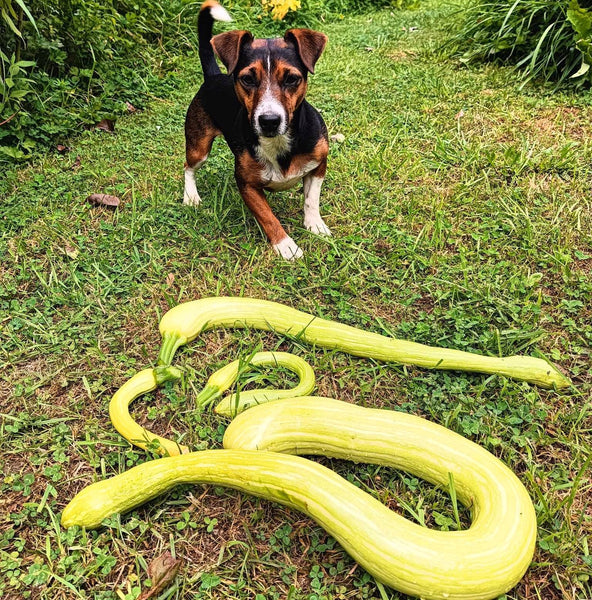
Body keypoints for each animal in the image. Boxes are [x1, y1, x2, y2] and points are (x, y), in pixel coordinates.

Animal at [183, 0, 330, 258]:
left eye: (291, 79)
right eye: (247, 79)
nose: (269, 120)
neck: (279, 142)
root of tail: (213, 76)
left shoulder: (319, 165)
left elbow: (311, 199)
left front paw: (315, 224)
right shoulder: (247, 185)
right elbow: (268, 216)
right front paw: (285, 245)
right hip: (198, 147)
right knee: (188, 167)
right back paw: (190, 195)